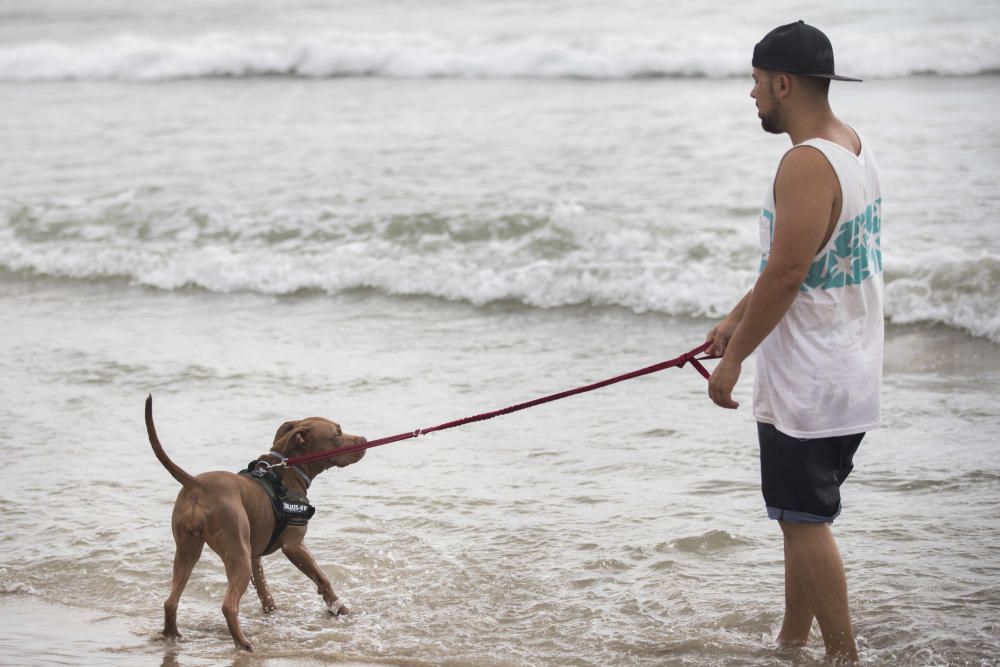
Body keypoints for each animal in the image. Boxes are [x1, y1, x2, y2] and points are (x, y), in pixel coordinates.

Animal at [145, 396, 368, 652]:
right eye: (337, 433)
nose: (365, 439)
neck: (287, 470)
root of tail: (197, 485)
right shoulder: (294, 546)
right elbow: (322, 577)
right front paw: (339, 608)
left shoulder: (254, 556)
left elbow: (264, 591)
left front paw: (274, 615)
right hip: (236, 556)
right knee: (228, 605)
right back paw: (243, 643)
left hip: (187, 553)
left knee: (170, 601)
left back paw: (171, 635)